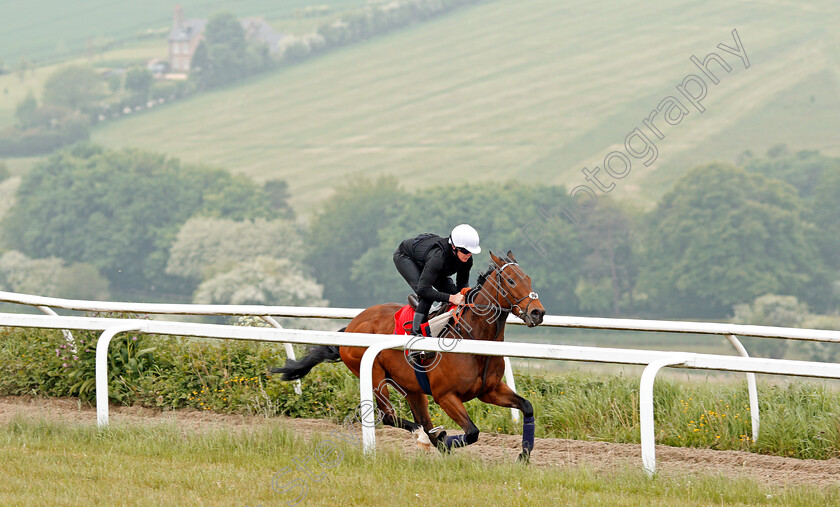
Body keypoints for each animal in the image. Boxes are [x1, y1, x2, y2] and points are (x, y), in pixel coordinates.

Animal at [270, 252, 544, 462]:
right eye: (510, 280)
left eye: (529, 278)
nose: (537, 312)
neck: (472, 339)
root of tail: (352, 325)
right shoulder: (446, 396)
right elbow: (472, 432)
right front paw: (444, 441)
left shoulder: (490, 390)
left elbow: (527, 407)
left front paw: (524, 455)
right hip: (374, 375)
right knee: (389, 416)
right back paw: (424, 436)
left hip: (411, 386)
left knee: (420, 418)